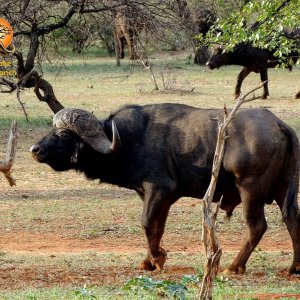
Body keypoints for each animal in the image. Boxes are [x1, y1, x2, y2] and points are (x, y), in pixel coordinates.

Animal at [29, 103, 300, 274]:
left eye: (64, 135)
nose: (35, 149)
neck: (127, 140)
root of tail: (280, 125)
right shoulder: (163, 198)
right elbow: (157, 228)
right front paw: (150, 260)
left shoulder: (158, 189)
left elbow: (146, 223)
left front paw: (157, 259)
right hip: (282, 190)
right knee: (292, 220)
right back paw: (294, 267)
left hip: (250, 190)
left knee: (257, 227)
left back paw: (234, 266)